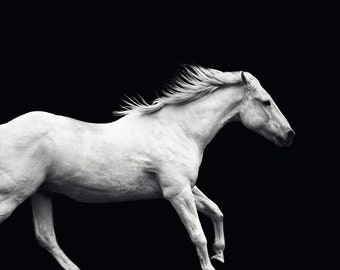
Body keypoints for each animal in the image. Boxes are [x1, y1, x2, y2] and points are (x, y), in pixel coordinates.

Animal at [0, 66, 292, 270]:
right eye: (266, 101)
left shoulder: (187, 187)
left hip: (41, 192)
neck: (180, 129)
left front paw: (219, 254)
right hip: (13, 195)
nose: (290, 135)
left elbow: (216, 211)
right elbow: (197, 234)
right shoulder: (177, 192)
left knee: (46, 237)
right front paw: (210, 263)